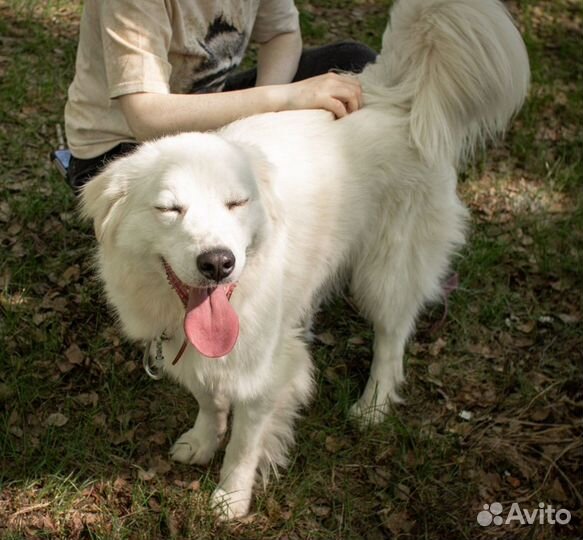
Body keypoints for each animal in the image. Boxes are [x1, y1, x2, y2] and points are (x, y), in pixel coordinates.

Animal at [80, 0, 532, 520]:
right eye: (169, 209)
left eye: (236, 203)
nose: (218, 263)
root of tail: (391, 90)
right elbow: (208, 398)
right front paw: (201, 440)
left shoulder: (266, 373)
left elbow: (244, 444)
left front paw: (230, 499)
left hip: (387, 268)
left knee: (392, 336)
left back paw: (373, 405)